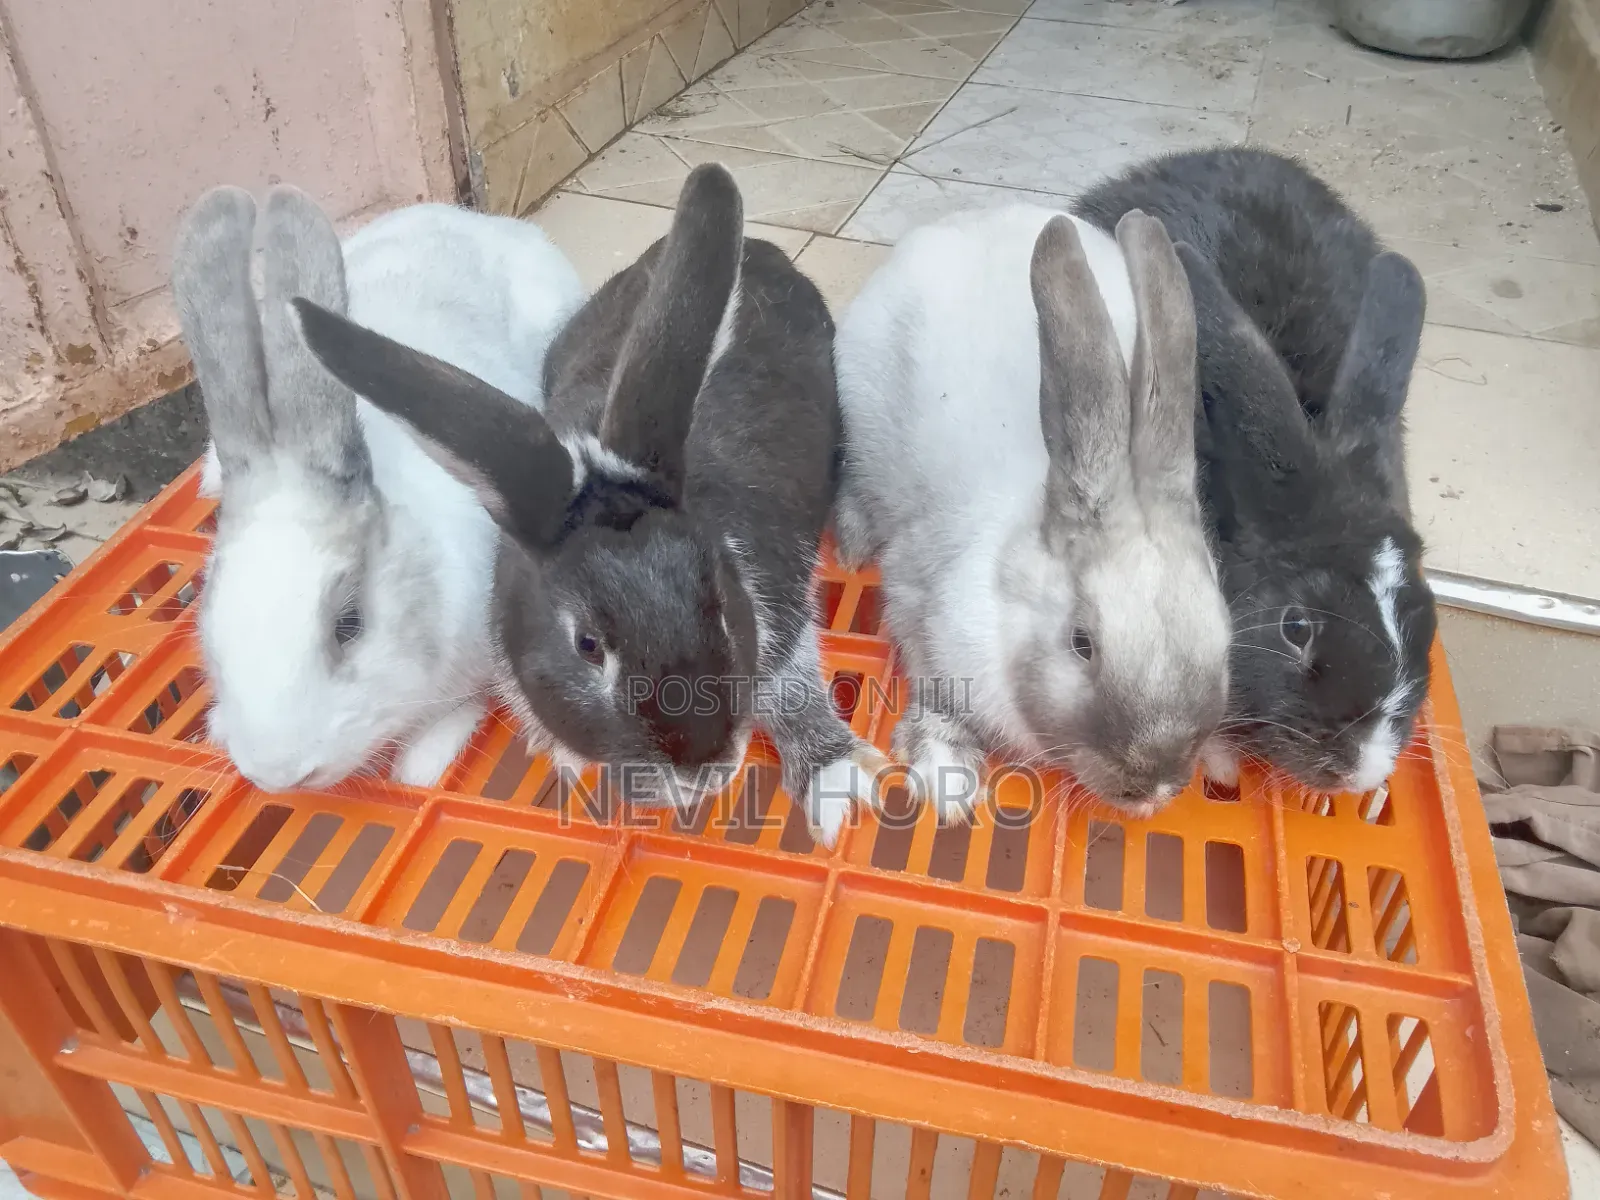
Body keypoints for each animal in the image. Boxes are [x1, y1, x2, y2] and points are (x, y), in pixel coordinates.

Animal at [172, 186, 584, 793]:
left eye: (349, 625)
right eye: (210, 607)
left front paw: (422, 764)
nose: (278, 774)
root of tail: (470, 218)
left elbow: (462, 706)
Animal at [290, 163, 888, 848]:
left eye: (719, 601)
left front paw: (837, 780)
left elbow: (794, 685)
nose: (704, 771)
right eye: (586, 646)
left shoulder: (779, 602)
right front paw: (572, 760)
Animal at [833, 205, 1232, 823]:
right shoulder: (916, 598)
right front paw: (947, 776)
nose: (1155, 785)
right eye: (1082, 643)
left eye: (1223, 634)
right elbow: (930, 683)